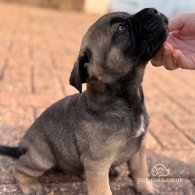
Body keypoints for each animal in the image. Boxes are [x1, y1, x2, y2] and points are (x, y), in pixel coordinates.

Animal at [0, 8, 168, 195]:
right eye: (121, 28)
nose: (154, 10)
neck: (124, 101)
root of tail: (22, 146)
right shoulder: (97, 164)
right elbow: (104, 190)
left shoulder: (139, 149)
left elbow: (141, 171)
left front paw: (146, 189)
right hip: (42, 158)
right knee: (20, 167)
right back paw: (31, 185)